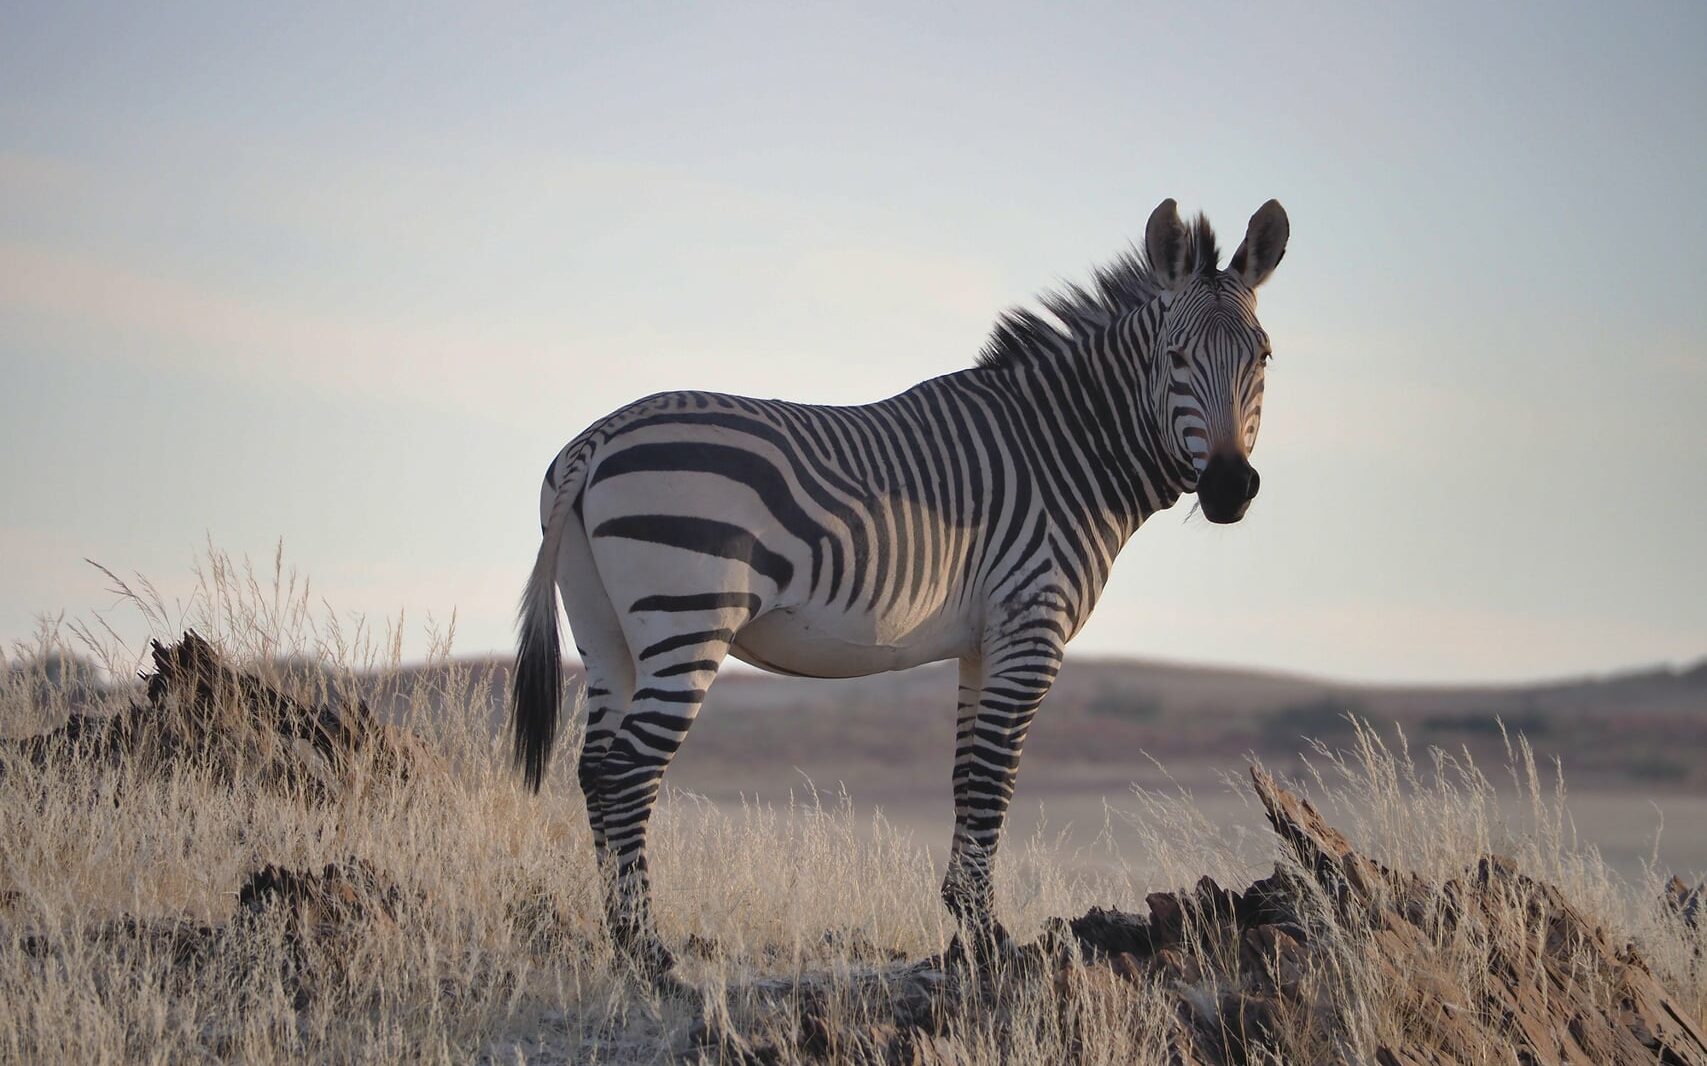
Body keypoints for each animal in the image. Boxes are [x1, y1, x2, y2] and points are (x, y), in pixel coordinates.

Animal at [512, 198, 1290, 975]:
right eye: (1174, 357)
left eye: (1263, 357)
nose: (1228, 488)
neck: (1065, 449)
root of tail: (596, 440)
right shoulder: (1031, 628)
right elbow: (994, 779)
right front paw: (989, 941)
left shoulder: (982, 644)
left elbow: (968, 777)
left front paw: (967, 930)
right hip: (686, 618)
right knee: (626, 772)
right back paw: (646, 950)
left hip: (605, 632)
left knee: (593, 768)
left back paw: (619, 941)